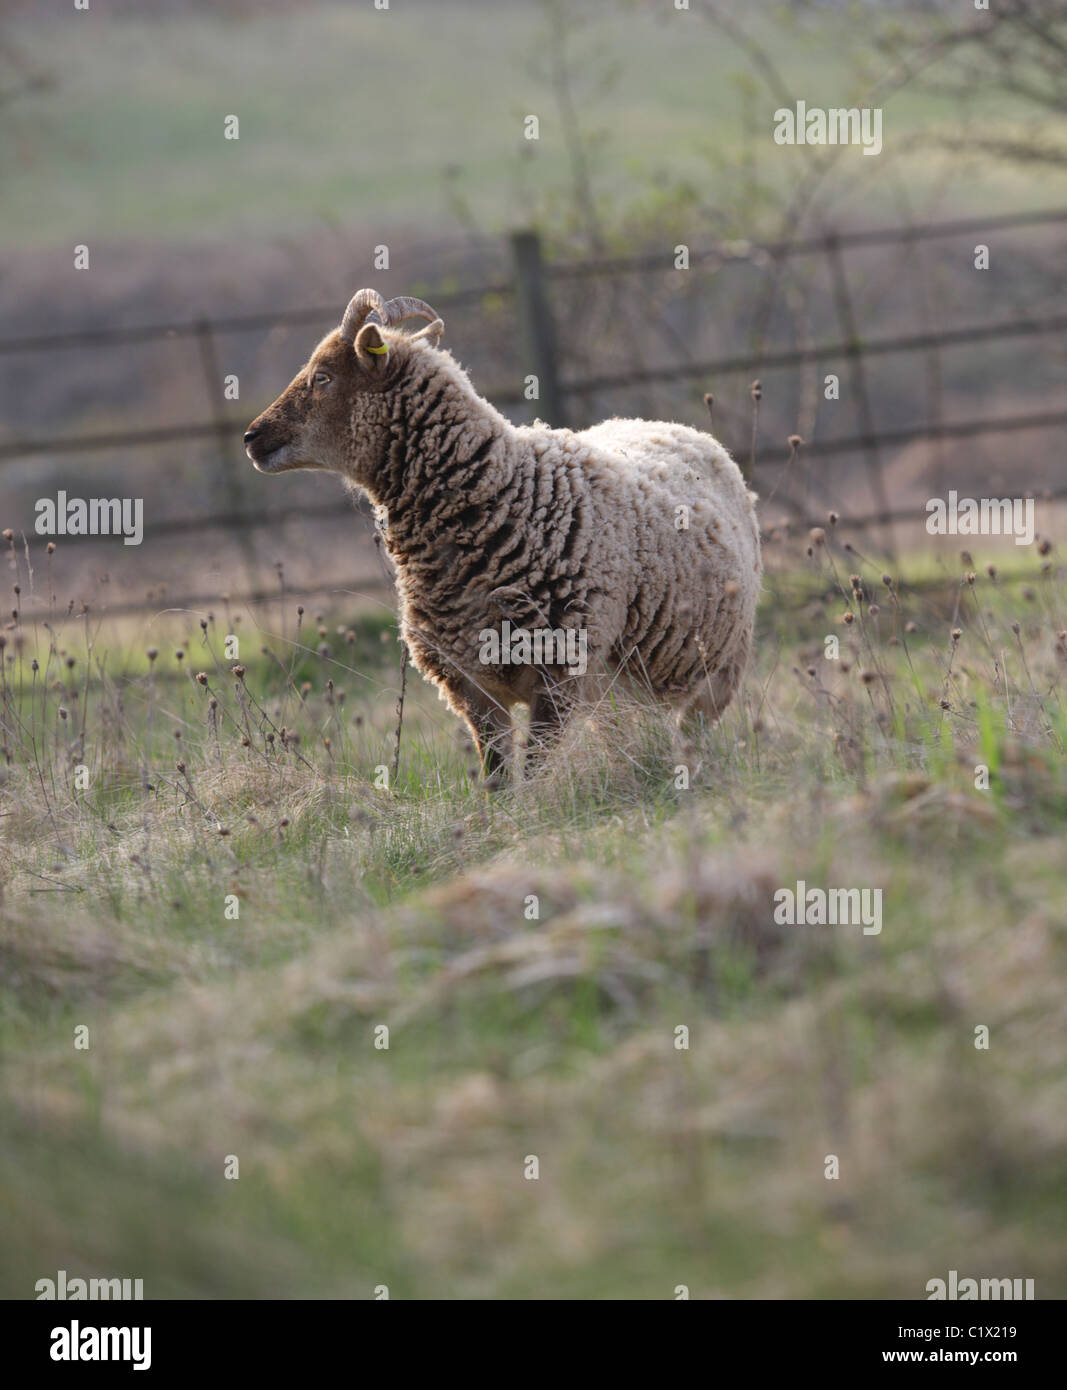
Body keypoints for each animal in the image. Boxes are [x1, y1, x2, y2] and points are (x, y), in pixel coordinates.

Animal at [244, 289, 762, 783]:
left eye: (323, 377)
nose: (251, 437)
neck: (500, 494)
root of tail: (674, 427)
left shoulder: (557, 673)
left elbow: (532, 772)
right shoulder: (471, 686)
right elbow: (496, 776)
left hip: (720, 667)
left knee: (691, 734)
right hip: (620, 691)